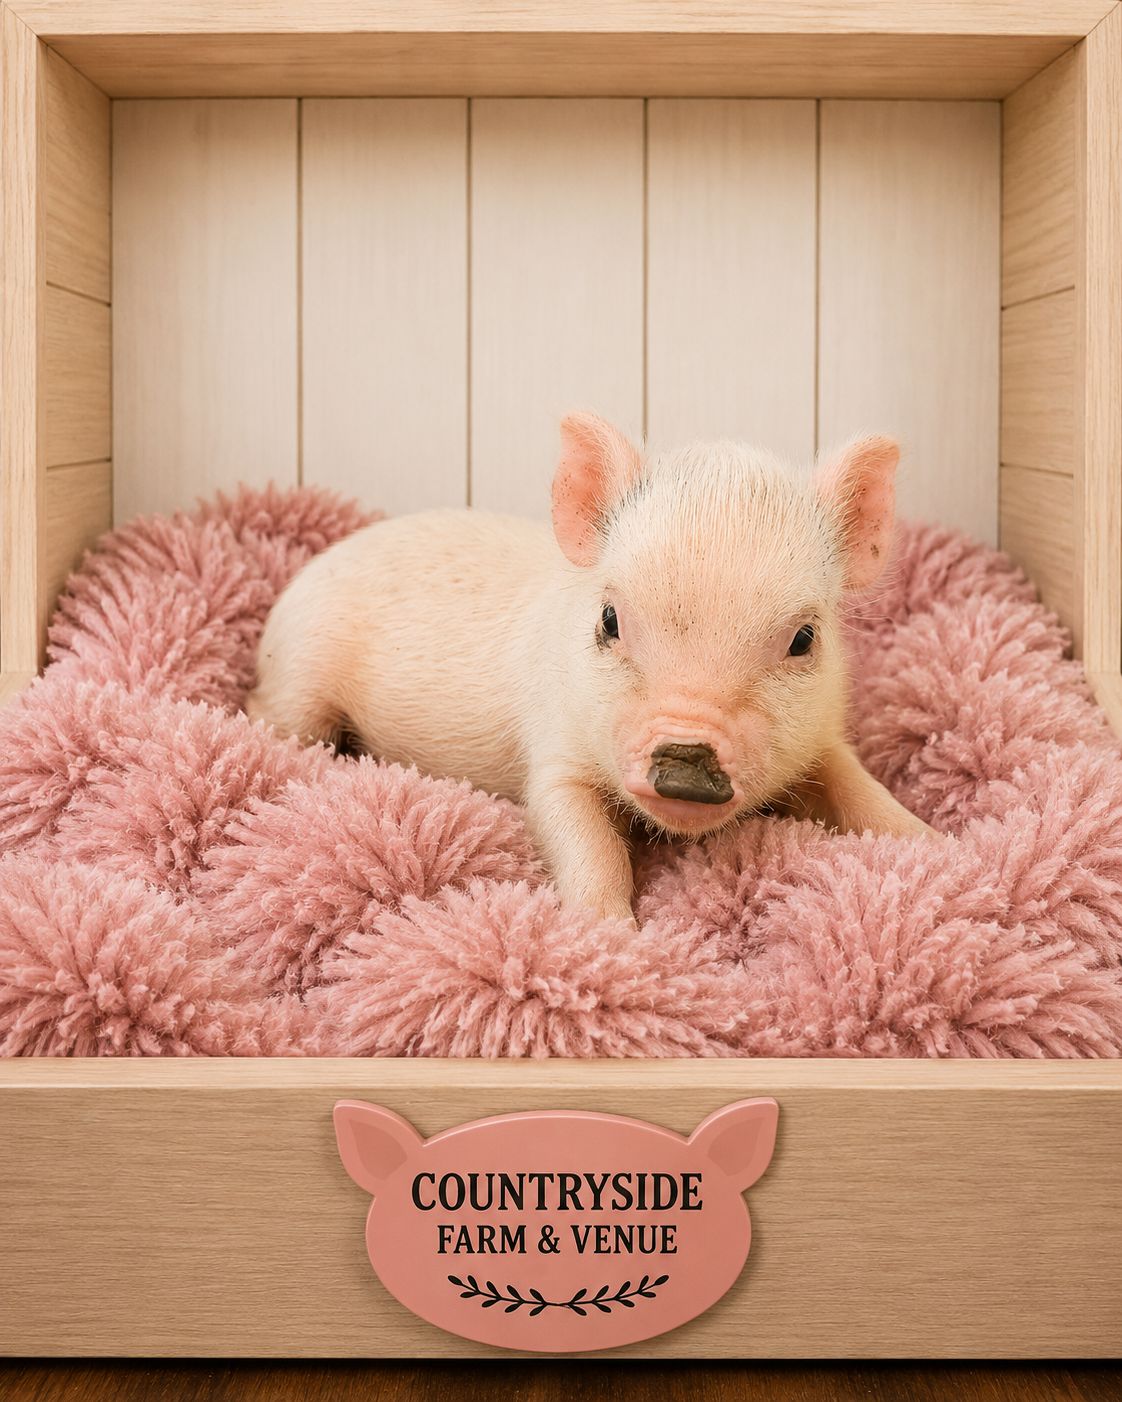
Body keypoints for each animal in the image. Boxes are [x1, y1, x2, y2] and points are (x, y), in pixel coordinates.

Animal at [247, 414, 928, 923]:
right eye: (609, 620)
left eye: (803, 639)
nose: (687, 762)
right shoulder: (552, 752)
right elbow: (583, 837)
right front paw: (610, 934)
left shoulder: (822, 737)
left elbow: (863, 790)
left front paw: (937, 844)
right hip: (298, 675)